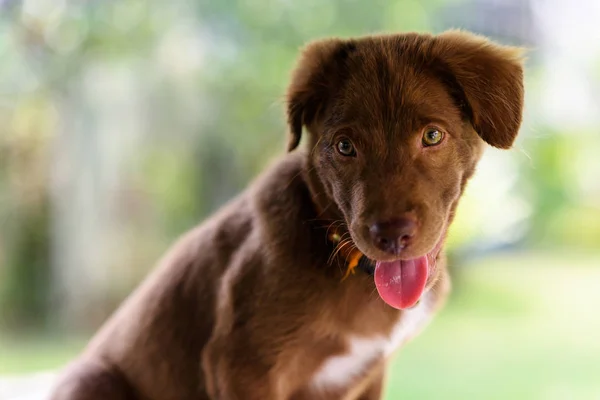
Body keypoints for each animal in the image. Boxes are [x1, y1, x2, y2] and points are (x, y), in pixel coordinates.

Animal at [49, 30, 524, 400]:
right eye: (345, 146)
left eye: (432, 136)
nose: (391, 236)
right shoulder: (241, 363)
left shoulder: (371, 373)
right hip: (93, 379)